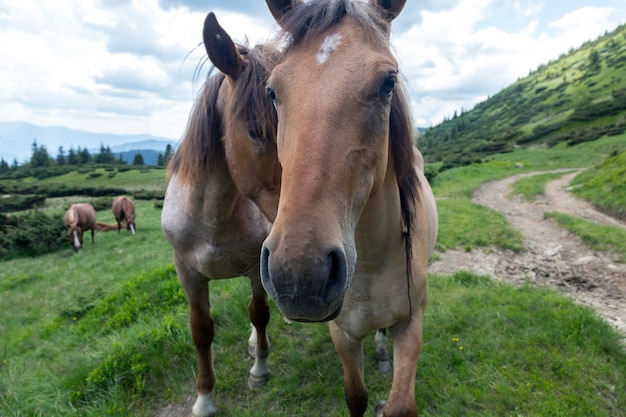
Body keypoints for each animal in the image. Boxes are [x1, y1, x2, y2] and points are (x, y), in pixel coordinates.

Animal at [160, 12, 280, 416]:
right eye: (256, 130)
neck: (210, 218)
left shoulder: (257, 266)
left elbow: (259, 312)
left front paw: (259, 370)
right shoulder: (188, 273)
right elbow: (201, 330)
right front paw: (204, 398)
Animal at [260, 1, 436, 414]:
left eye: (388, 83)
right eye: (272, 90)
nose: (300, 275)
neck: (371, 261)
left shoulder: (412, 324)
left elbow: (401, 404)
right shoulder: (341, 331)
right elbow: (355, 395)